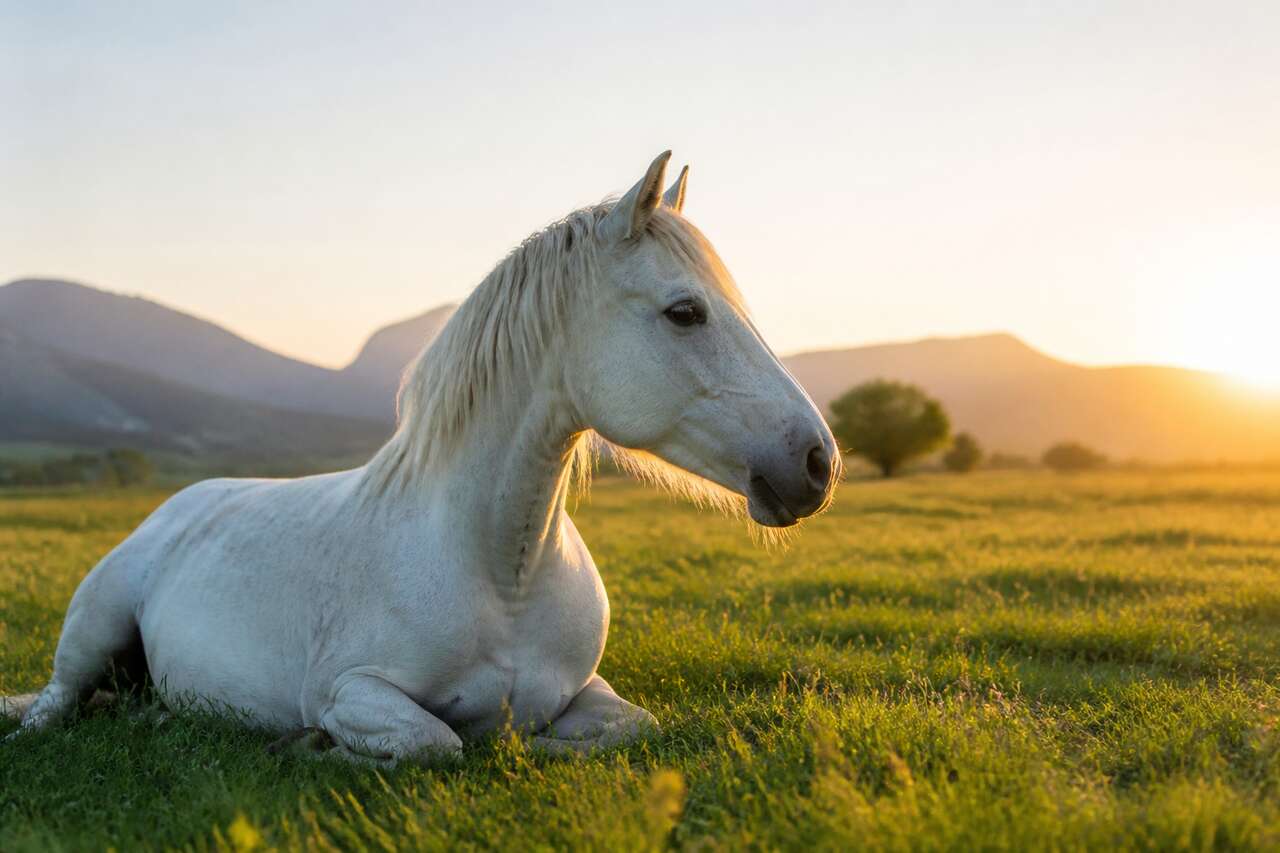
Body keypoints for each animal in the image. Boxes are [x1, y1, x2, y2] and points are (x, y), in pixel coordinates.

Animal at [5, 152, 839, 764]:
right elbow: (438, 742)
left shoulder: (591, 690)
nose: (818, 462)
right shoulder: (354, 690)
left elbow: (626, 727)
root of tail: (182, 504)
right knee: (51, 709)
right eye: (684, 312)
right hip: (92, 629)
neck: (501, 573)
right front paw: (316, 745)